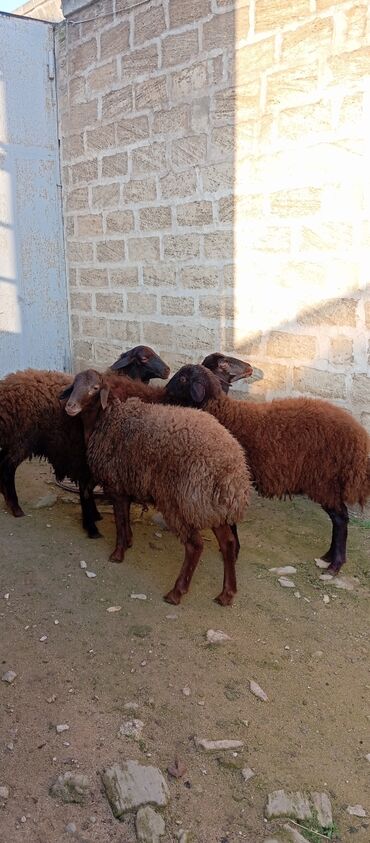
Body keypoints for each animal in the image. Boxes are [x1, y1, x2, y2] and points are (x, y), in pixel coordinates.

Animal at [62, 372, 251, 604]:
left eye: (95, 388)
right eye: (74, 384)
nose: (70, 406)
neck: (106, 420)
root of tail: (233, 469)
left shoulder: (116, 485)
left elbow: (119, 522)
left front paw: (117, 554)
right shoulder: (127, 484)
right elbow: (125, 520)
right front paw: (129, 542)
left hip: (179, 503)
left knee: (195, 545)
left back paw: (176, 592)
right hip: (208, 506)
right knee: (228, 543)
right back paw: (227, 594)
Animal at [165, 362, 370, 572]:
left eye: (183, 379)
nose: (165, 390)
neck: (226, 414)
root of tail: (359, 438)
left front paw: (233, 550)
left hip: (324, 481)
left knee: (340, 519)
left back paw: (335, 564)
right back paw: (328, 557)